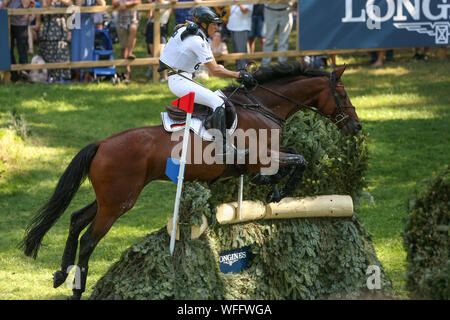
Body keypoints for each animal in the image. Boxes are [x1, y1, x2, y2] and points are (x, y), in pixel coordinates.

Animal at [21, 62, 362, 300]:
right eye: (343, 94)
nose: (356, 126)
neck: (264, 107)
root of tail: (101, 144)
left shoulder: (272, 152)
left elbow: (295, 156)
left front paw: (275, 187)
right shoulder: (262, 158)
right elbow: (299, 161)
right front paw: (278, 191)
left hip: (112, 197)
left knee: (77, 219)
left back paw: (61, 274)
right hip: (119, 202)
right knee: (90, 238)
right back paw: (76, 288)